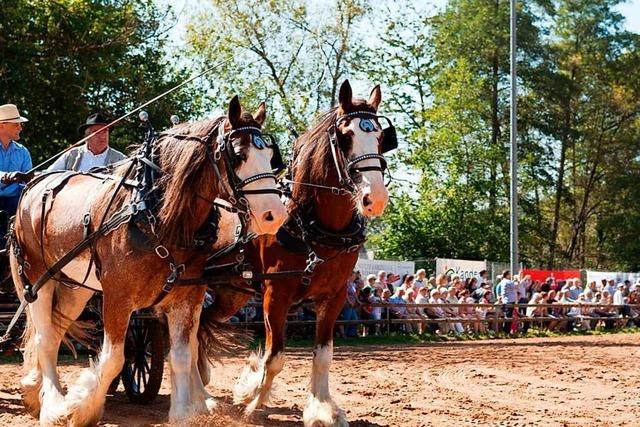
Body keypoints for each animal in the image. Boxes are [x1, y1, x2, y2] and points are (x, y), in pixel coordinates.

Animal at [11, 98, 286, 427]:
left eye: (270, 156)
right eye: (239, 155)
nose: (275, 215)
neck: (156, 215)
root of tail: (34, 184)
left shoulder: (187, 296)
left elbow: (181, 355)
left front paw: (184, 413)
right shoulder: (118, 297)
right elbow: (114, 358)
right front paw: (79, 408)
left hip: (77, 288)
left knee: (56, 330)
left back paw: (36, 393)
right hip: (37, 278)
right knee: (45, 338)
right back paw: (53, 404)